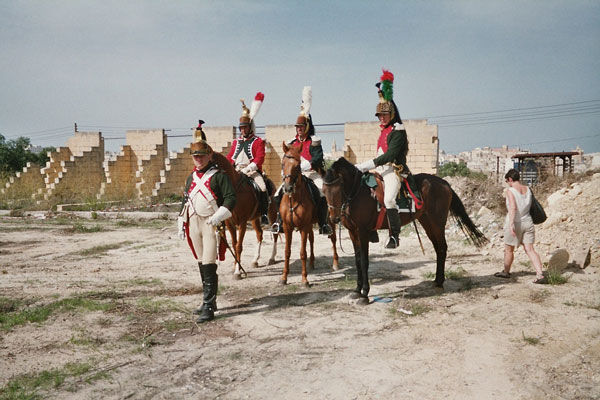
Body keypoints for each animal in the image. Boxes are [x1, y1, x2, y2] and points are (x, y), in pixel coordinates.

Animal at [280, 142, 340, 286]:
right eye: (283, 164)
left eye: (298, 166)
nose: (288, 188)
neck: (294, 199)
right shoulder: (287, 227)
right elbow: (287, 252)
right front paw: (284, 278)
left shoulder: (303, 227)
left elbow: (302, 252)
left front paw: (304, 279)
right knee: (311, 240)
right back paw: (312, 263)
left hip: (329, 221)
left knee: (333, 239)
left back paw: (335, 263)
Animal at [324, 156, 488, 304]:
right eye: (324, 190)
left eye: (338, 188)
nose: (334, 218)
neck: (358, 192)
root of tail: (444, 183)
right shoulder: (353, 233)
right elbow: (358, 261)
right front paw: (357, 290)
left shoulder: (363, 232)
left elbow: (364, 261)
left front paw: (364, 294)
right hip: (427, 223)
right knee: (438, 248)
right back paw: (436, 281)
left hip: (437, 223)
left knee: (442, 248)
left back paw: (440, 283)